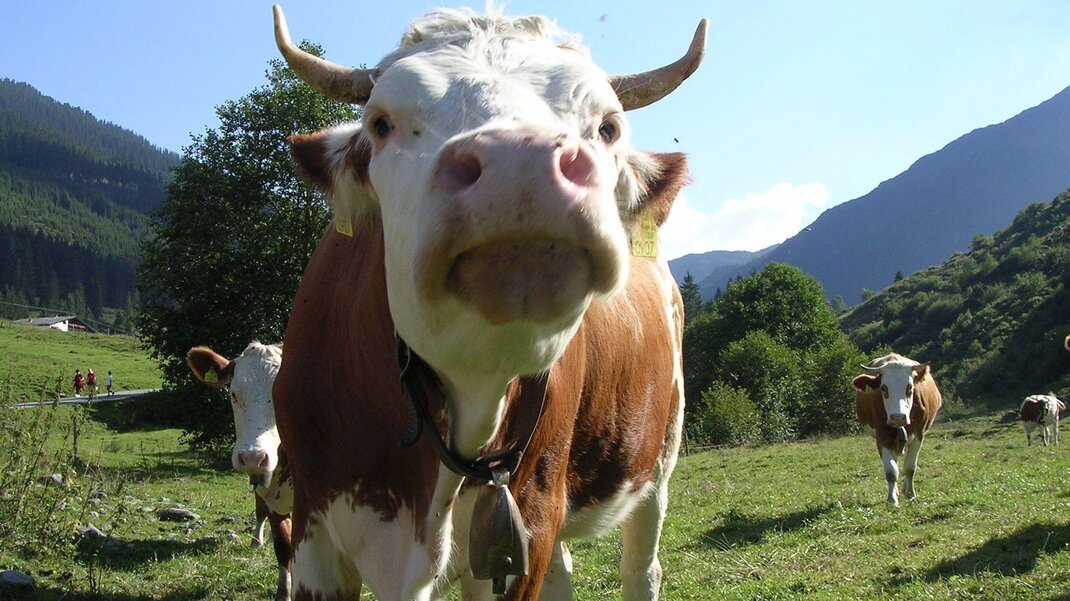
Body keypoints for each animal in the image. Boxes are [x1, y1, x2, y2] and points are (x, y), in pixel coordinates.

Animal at [186, 342, 293, 601]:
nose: (253, 457)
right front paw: (284, 592)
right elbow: (283, 546)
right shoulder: (273, 498)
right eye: (233, 394)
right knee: (259, 511)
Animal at [268, 5, 703, 600]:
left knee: (641, 567)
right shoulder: (315, 525)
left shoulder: (527, 523)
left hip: (657, 460)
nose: (518, 161)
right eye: (380, 124)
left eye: (608, 127)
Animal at [852, 353, 942, 506]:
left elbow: (910, 467)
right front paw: (892, 499)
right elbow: (891, 471)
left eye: (909, 387)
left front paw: (910, 493)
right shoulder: (882, 437)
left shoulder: (919, 435)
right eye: (883, 388)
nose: (898, 417)